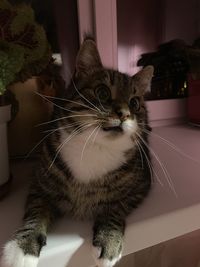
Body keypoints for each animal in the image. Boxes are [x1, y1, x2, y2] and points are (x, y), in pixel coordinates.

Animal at [1, 38, 153, 267]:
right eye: (102, 92)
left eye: (134, 103)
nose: (125, 114)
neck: (95, 147)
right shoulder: (40, 186)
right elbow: (36, 212)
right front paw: (22, 247)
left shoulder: (140, 186)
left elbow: (115, 208)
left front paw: (109, 241)